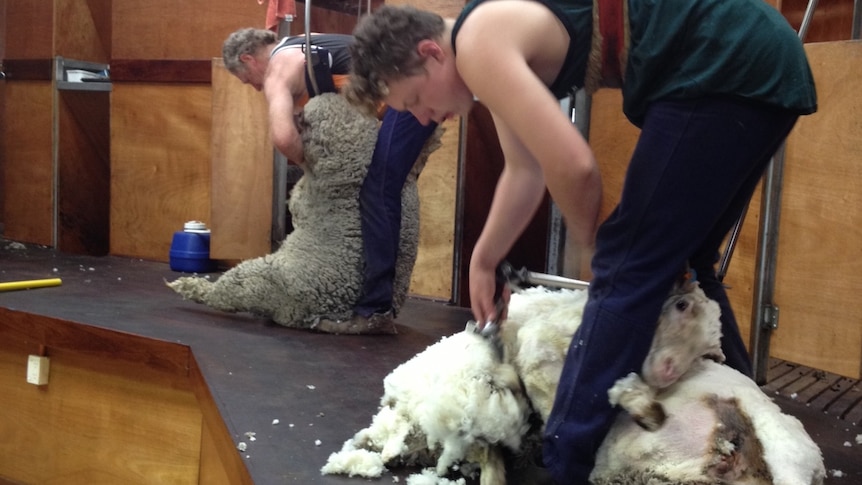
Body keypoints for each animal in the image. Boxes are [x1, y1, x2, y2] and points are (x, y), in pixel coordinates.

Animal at [167, 92, 446, 330]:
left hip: (257, 280)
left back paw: (188, 287)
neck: (355, 172)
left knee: (225, 293)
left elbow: (297, 198)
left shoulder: (307, 192)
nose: (294, 112)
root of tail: (319, 313)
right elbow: (418, 157)